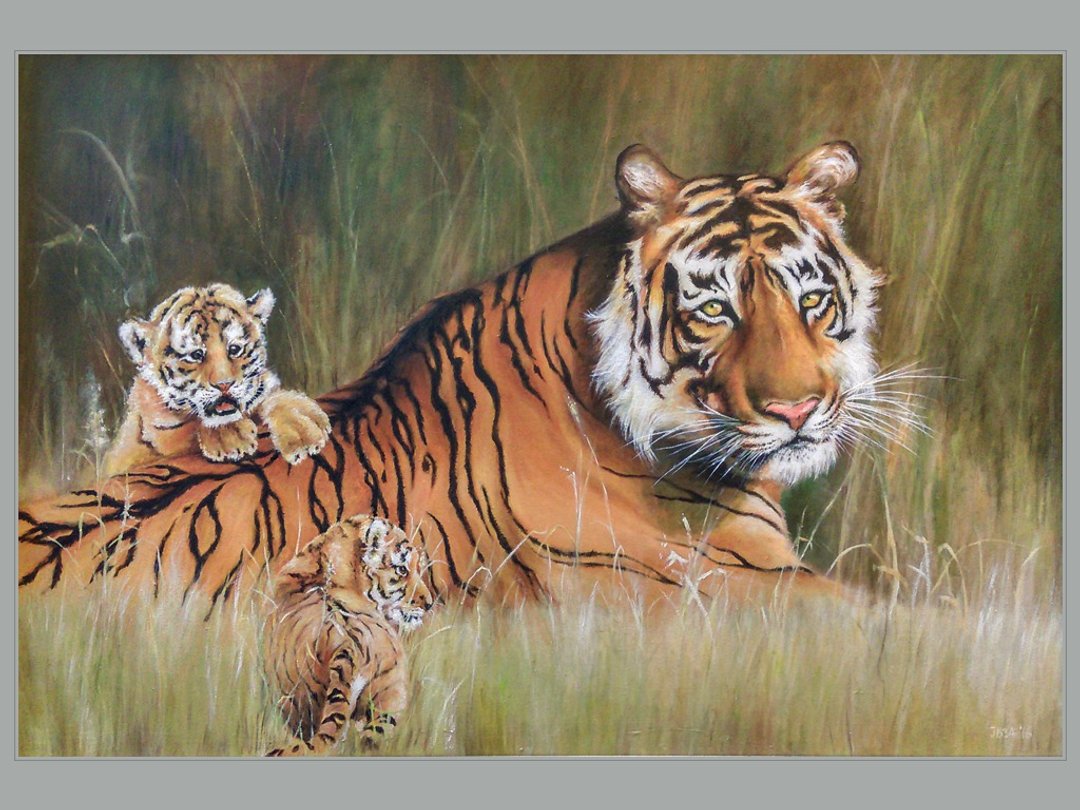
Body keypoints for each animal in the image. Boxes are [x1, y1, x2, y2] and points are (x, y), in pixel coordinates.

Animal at [103, 283, 331, 474]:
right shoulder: (162, 433)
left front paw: (303, 428)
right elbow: (191, 426)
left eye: (235, 349)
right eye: (196, 355)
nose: (224, 385)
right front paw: (231, 438)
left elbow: (273, 398)